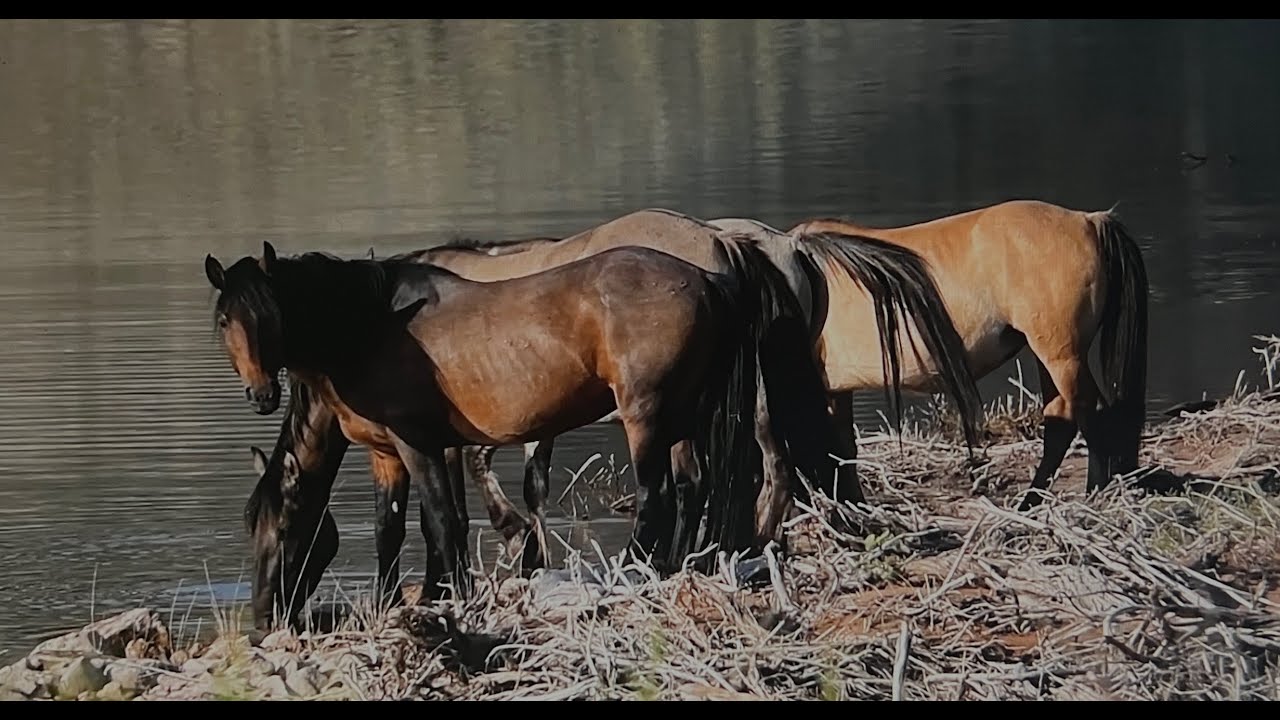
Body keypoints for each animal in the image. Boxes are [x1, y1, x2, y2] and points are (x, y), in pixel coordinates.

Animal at [206, 237, 844, 606]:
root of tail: (712, 277)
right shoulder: (387, 453)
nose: (263, 616)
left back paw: (631, 569)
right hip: (685, 417)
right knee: (694, 487)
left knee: (657, 495)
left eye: (284, 529)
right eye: (225, 321)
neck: (369, 326)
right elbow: (393, 528)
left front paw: (448, 594)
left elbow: (442, 522)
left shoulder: (419, 444)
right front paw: (394, 601)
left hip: (647, 415)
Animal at [789, 199, 1150, 510]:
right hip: (1051, 356)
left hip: (1063, 357)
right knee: (1062, 420)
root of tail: (1087, 220)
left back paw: (1093, 492)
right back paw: (1030, 503)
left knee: (1092, 413)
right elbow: (841, 449)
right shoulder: (834, 391)